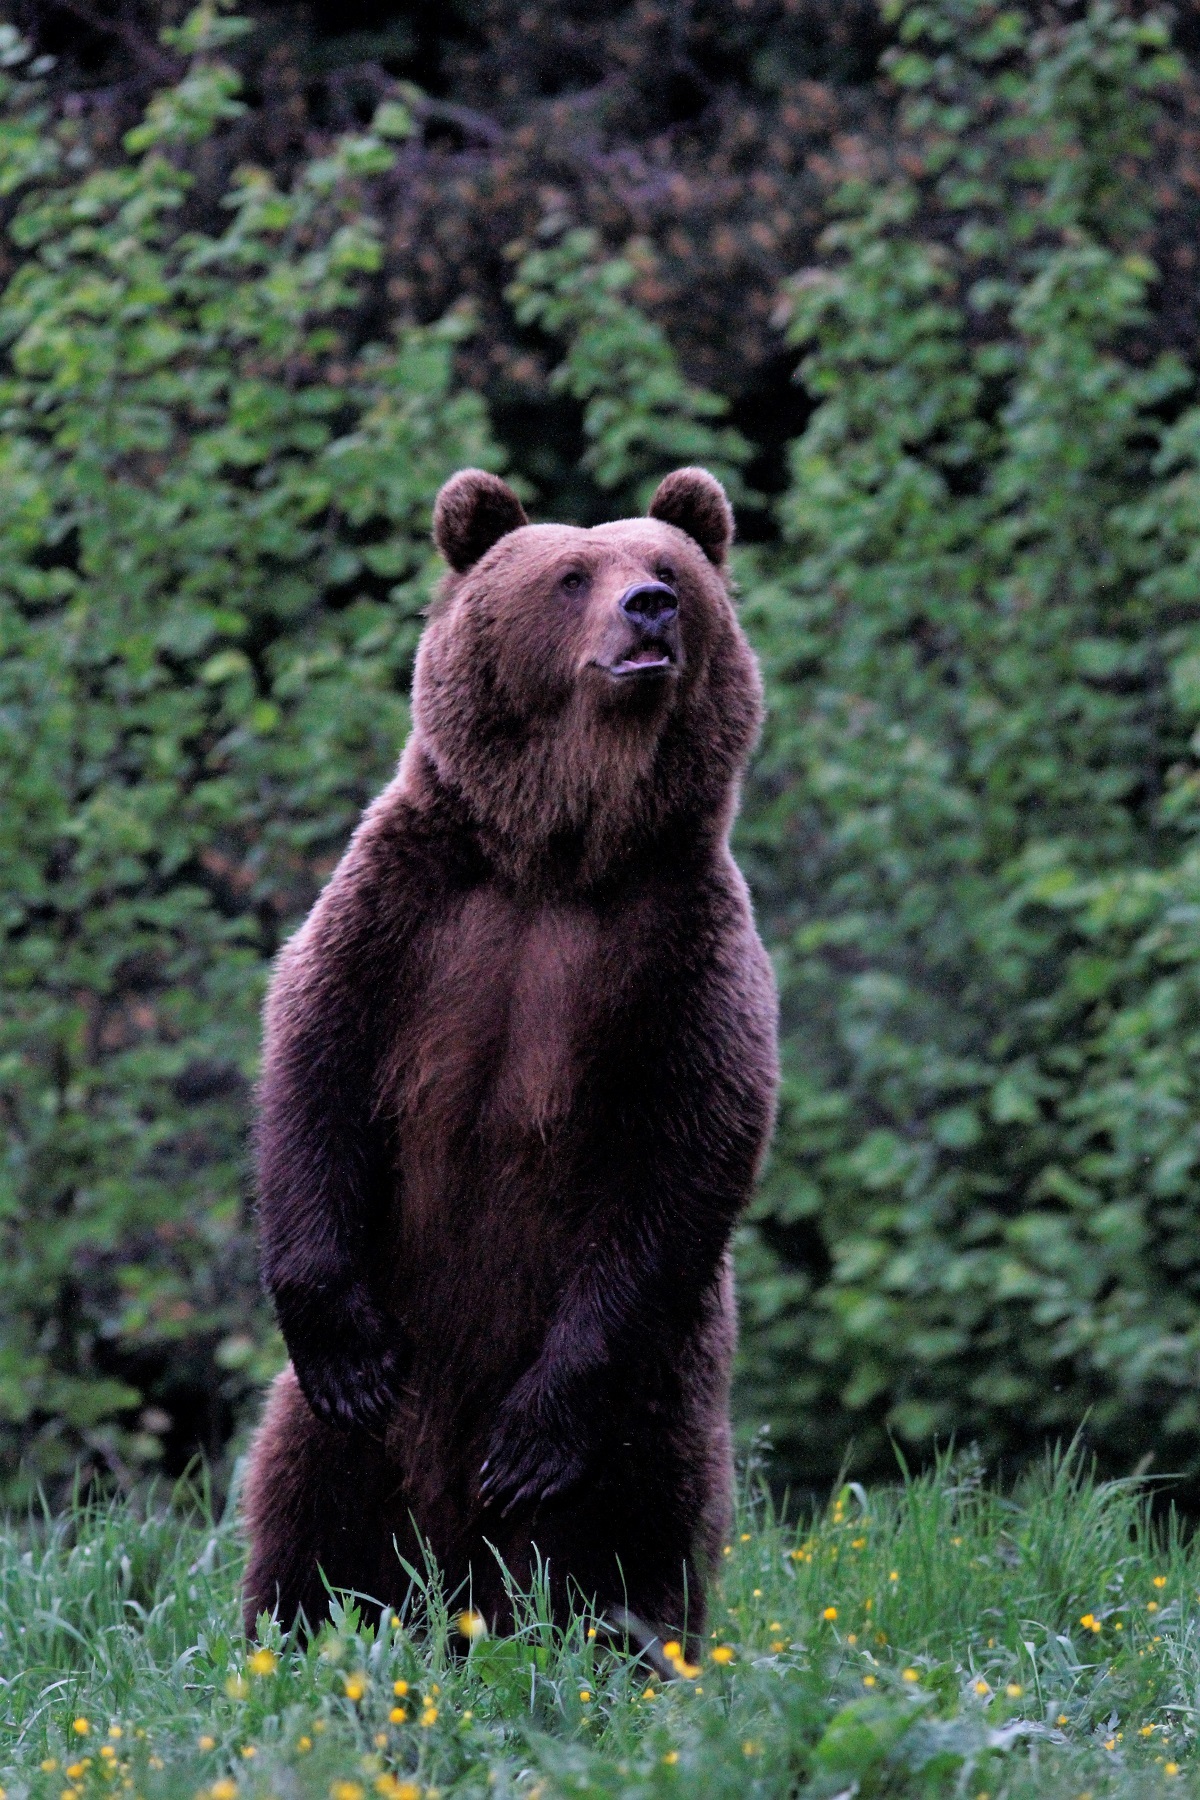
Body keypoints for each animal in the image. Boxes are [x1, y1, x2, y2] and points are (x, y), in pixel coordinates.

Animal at [241, 460, 780, 1648]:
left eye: (668, 568)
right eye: (572, 573)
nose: (651, 608)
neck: (556, 856)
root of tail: (451, 1569)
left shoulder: (679, 953)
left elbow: (688, 1141)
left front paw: (536, 1433)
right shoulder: (409, 913)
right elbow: (314, 1060)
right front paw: (337, 1339)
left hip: (666, 1388)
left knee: (636, 1518)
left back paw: (616, 1634)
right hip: (364, 1397)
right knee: (308, 1497)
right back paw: (294, 1631)